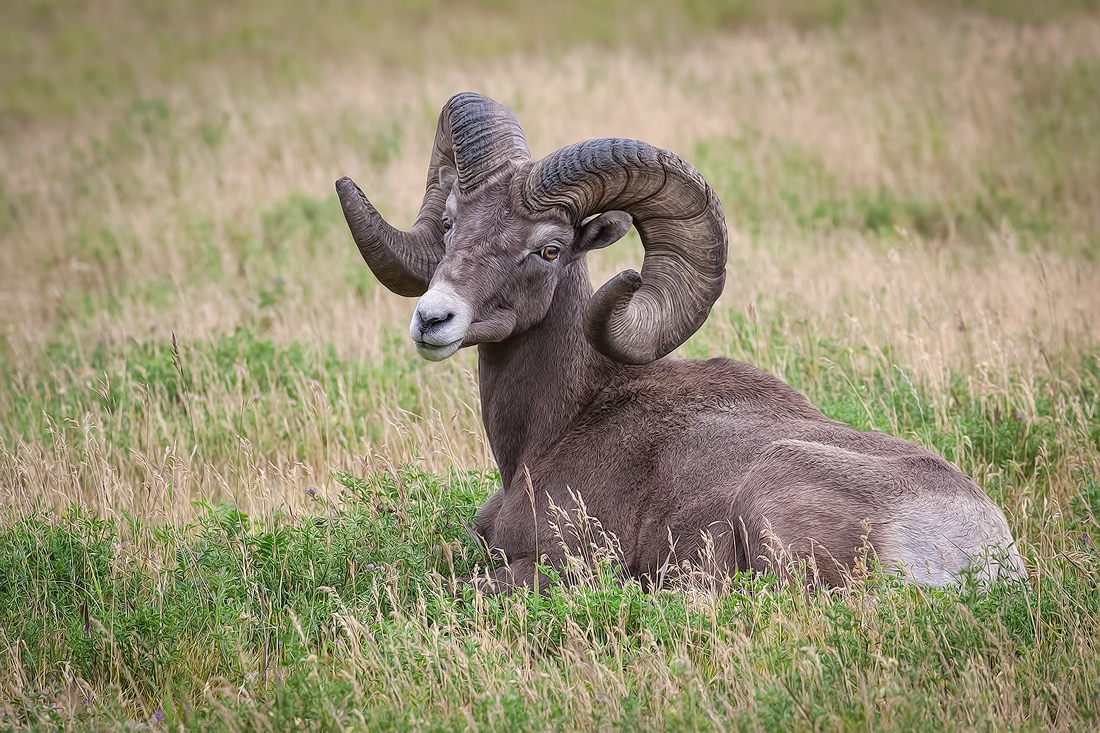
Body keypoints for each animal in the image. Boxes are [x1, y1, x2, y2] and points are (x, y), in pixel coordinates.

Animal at [332, 91, 1020, 589]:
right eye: (451, 224)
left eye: (548, 248)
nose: (433, 319)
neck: (554, 428)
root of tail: (982, 561)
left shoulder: (559, 565)